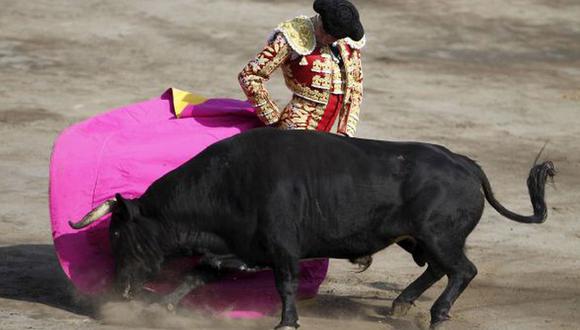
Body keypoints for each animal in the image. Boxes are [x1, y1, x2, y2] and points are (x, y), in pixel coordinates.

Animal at [70, 127, 556, 328]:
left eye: (118, 235)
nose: (118, 289)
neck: (227, 184)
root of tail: (466, 163)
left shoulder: (282, 246)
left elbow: (284, 284)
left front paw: (287, 322)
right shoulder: (239, 246)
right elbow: (199, 273)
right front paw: (163, 306)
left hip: (439, 235)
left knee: (462, 271)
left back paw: (436, 316)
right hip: (420, 239)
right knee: (440, 269)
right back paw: (402, 305)